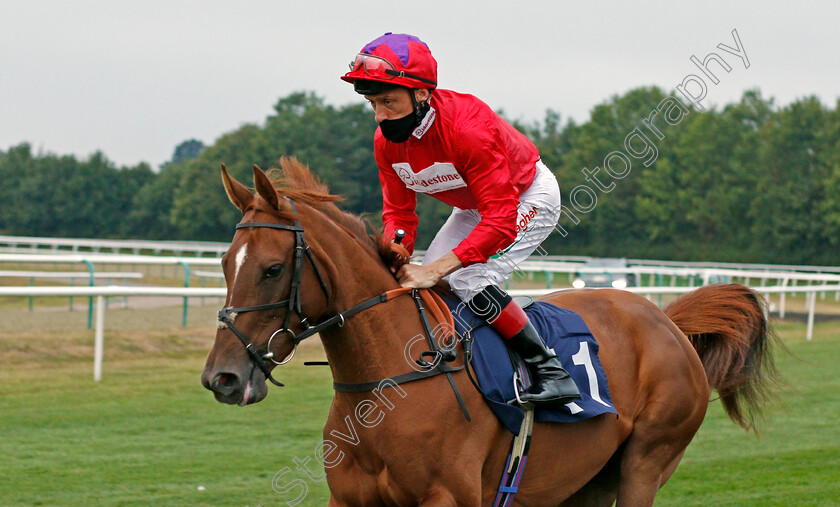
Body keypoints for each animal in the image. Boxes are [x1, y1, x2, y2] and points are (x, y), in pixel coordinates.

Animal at [200, 157, 776, 506]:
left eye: (273, 269)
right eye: (225, 264)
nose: (222, 378)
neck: (388, 381)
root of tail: (667, 320)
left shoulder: (448, 496)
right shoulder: (349, 498)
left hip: (648, 461)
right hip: (586, 478)